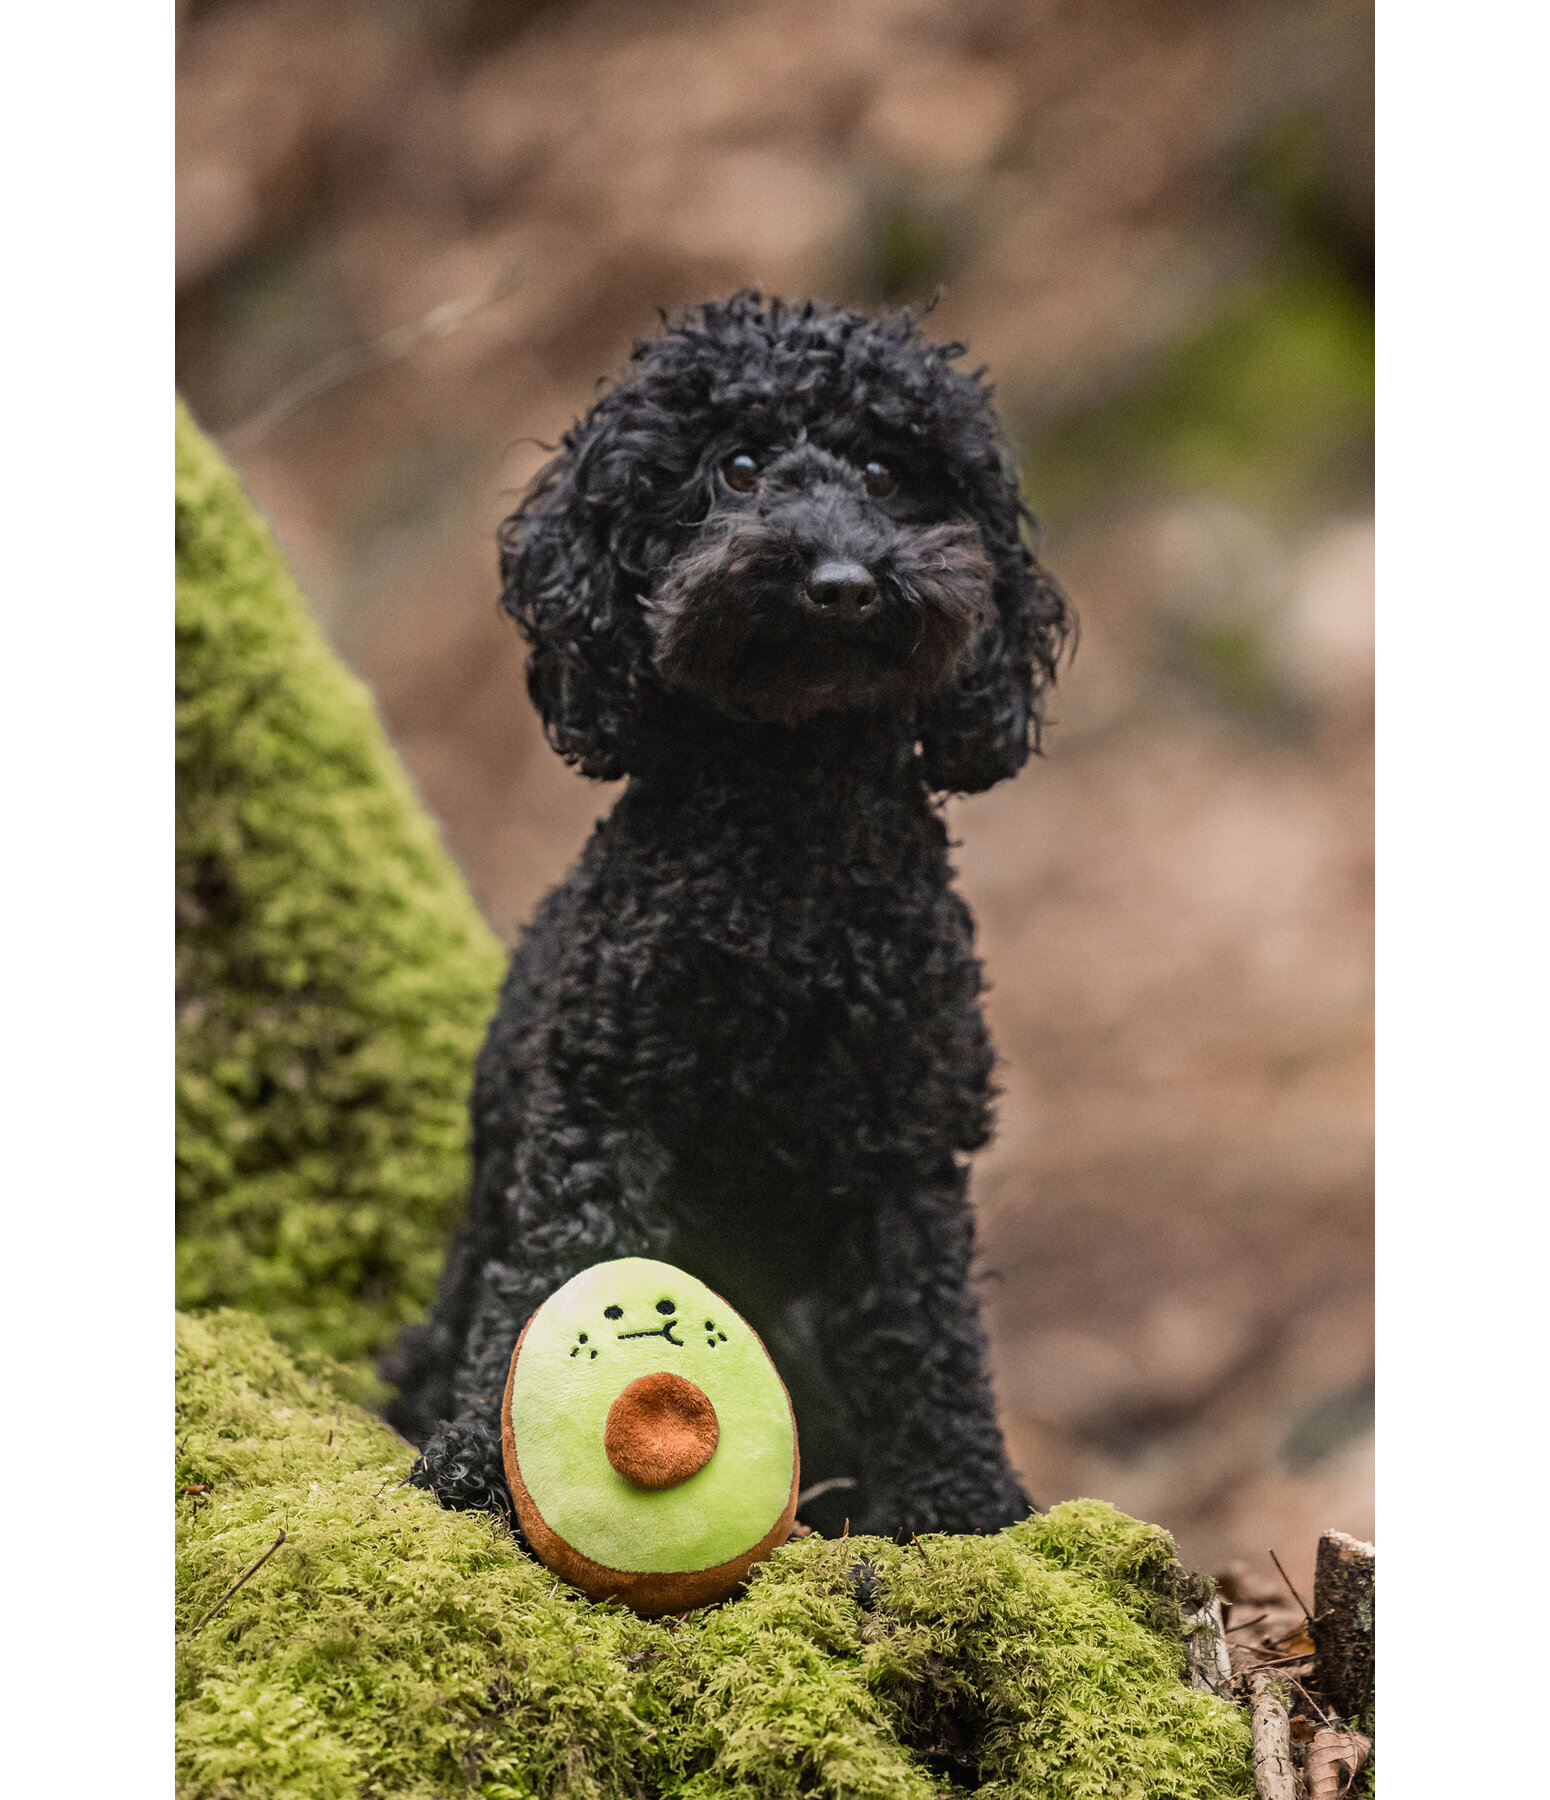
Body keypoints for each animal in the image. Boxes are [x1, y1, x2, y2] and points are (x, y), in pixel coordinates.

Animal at [381, 291, 1072, 1533]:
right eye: (736, 467)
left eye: (887, 473)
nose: (840, 579)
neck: (787, 855)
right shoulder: (602, 1101)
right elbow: (556, 1272)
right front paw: (479, 1458)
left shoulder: (904, 1142)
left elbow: (928, 1333)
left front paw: (966, 1500)